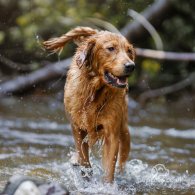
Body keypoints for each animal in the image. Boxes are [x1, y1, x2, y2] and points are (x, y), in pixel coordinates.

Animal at [43, 26, 136, 182]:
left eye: (129, 50)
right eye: (111, 48)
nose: (131, 66)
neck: (94, 92)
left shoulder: (112, 133)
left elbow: (109, 168)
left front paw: (106, 185)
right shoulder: (77, 127)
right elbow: (84, 157)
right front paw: (86, 175)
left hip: (124, 131)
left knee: (122, 160)